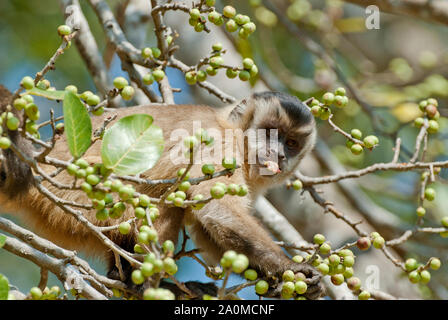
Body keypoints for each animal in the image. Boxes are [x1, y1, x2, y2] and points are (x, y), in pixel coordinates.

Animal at [0, 84, 324, 298]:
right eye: (270, 133)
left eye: (291, 143)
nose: (278, 154)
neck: (232, 132)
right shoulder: (220, 145)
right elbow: (218, 212)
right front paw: (289, 268)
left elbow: (210, 229)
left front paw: (277, 284)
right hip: (79, 200)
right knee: (162, 200)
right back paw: (142, 285)